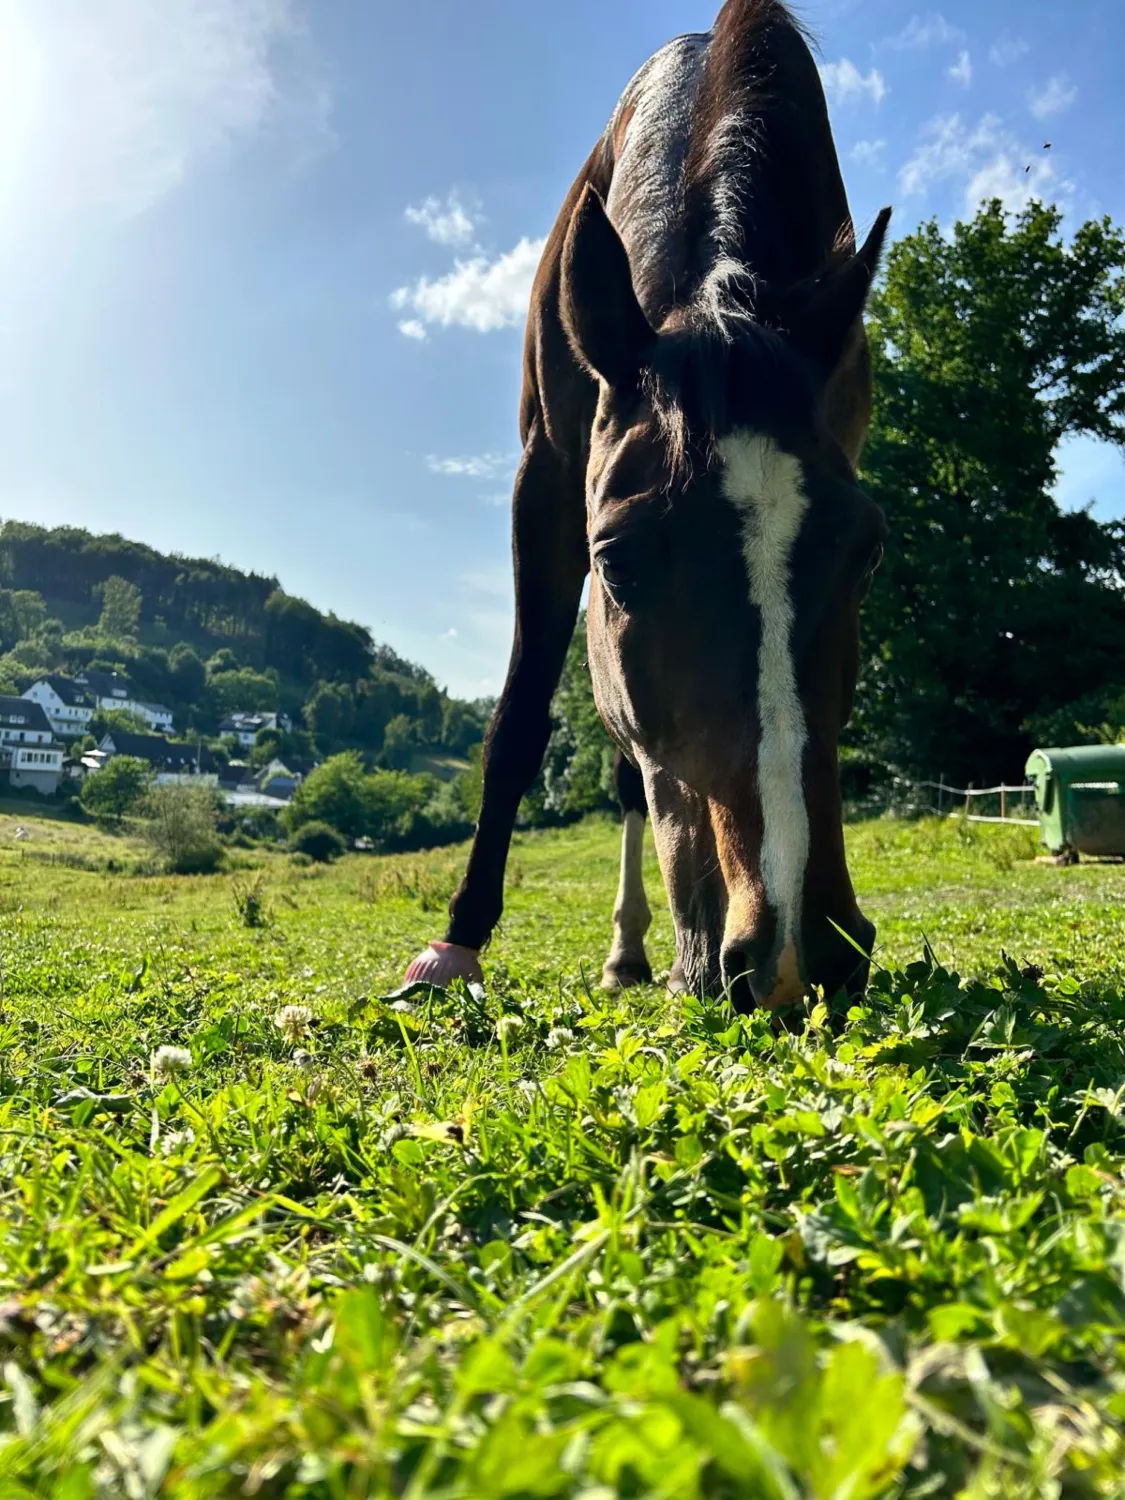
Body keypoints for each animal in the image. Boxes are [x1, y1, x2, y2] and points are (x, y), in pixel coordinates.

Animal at [405, 0, 890, 1013]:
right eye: (617, 560)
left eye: (867, 553)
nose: (792, 950)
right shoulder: (548, 477)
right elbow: (519, 723)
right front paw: (457, 944)